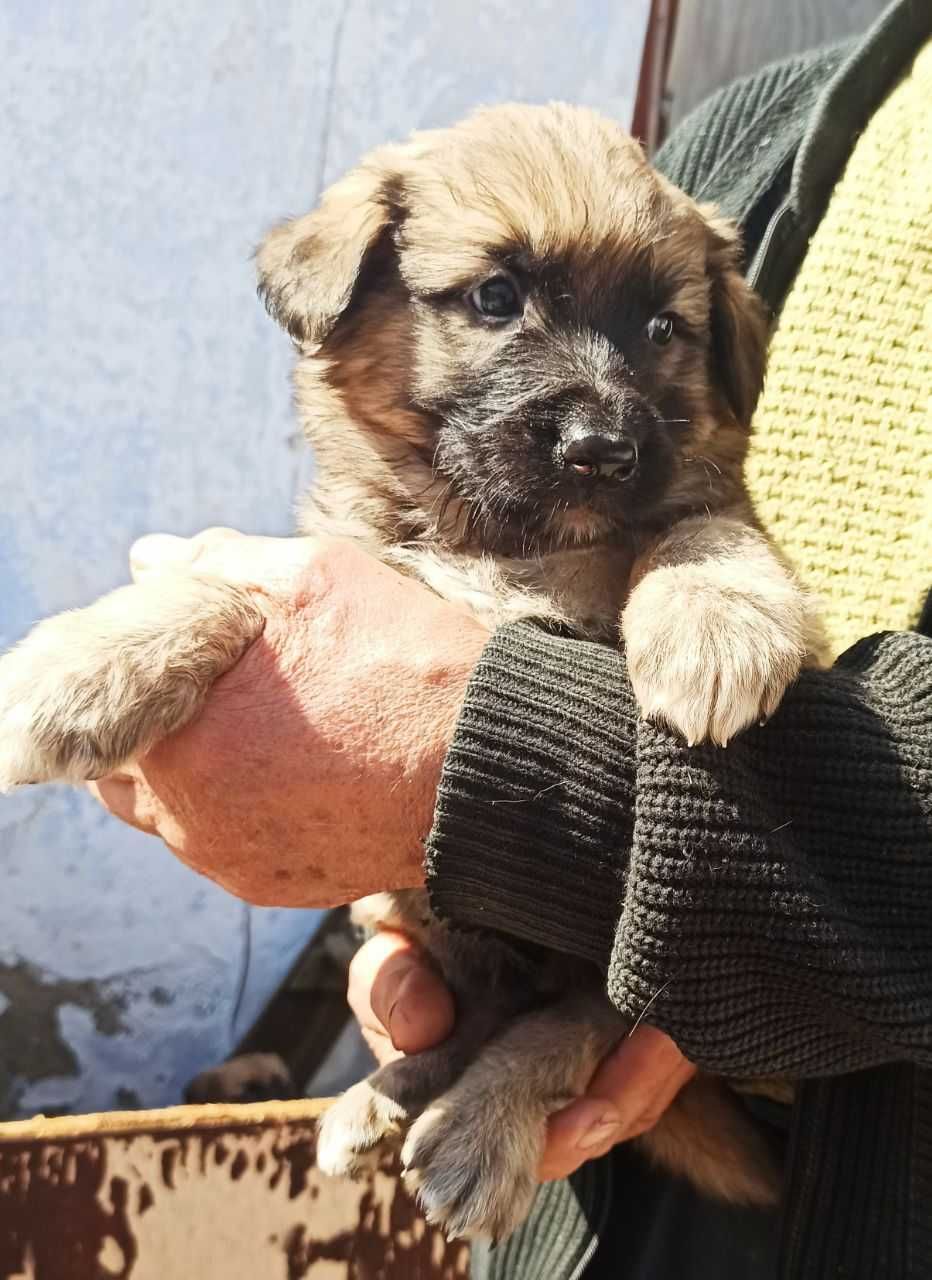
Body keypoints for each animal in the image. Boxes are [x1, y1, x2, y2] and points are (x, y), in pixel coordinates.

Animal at [0, 104, 814, 1244]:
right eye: (494, 297)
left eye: (663, 330)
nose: (602, 448)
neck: (498, 541)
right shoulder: (349, 558)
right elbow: (231, 585)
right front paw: (86, 662)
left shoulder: (698, 516)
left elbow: (701, 526)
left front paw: (711, 622)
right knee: (486, 1015)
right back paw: (386, 1098)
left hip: (622, 972)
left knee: (568, 1025)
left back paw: (479, 1125)